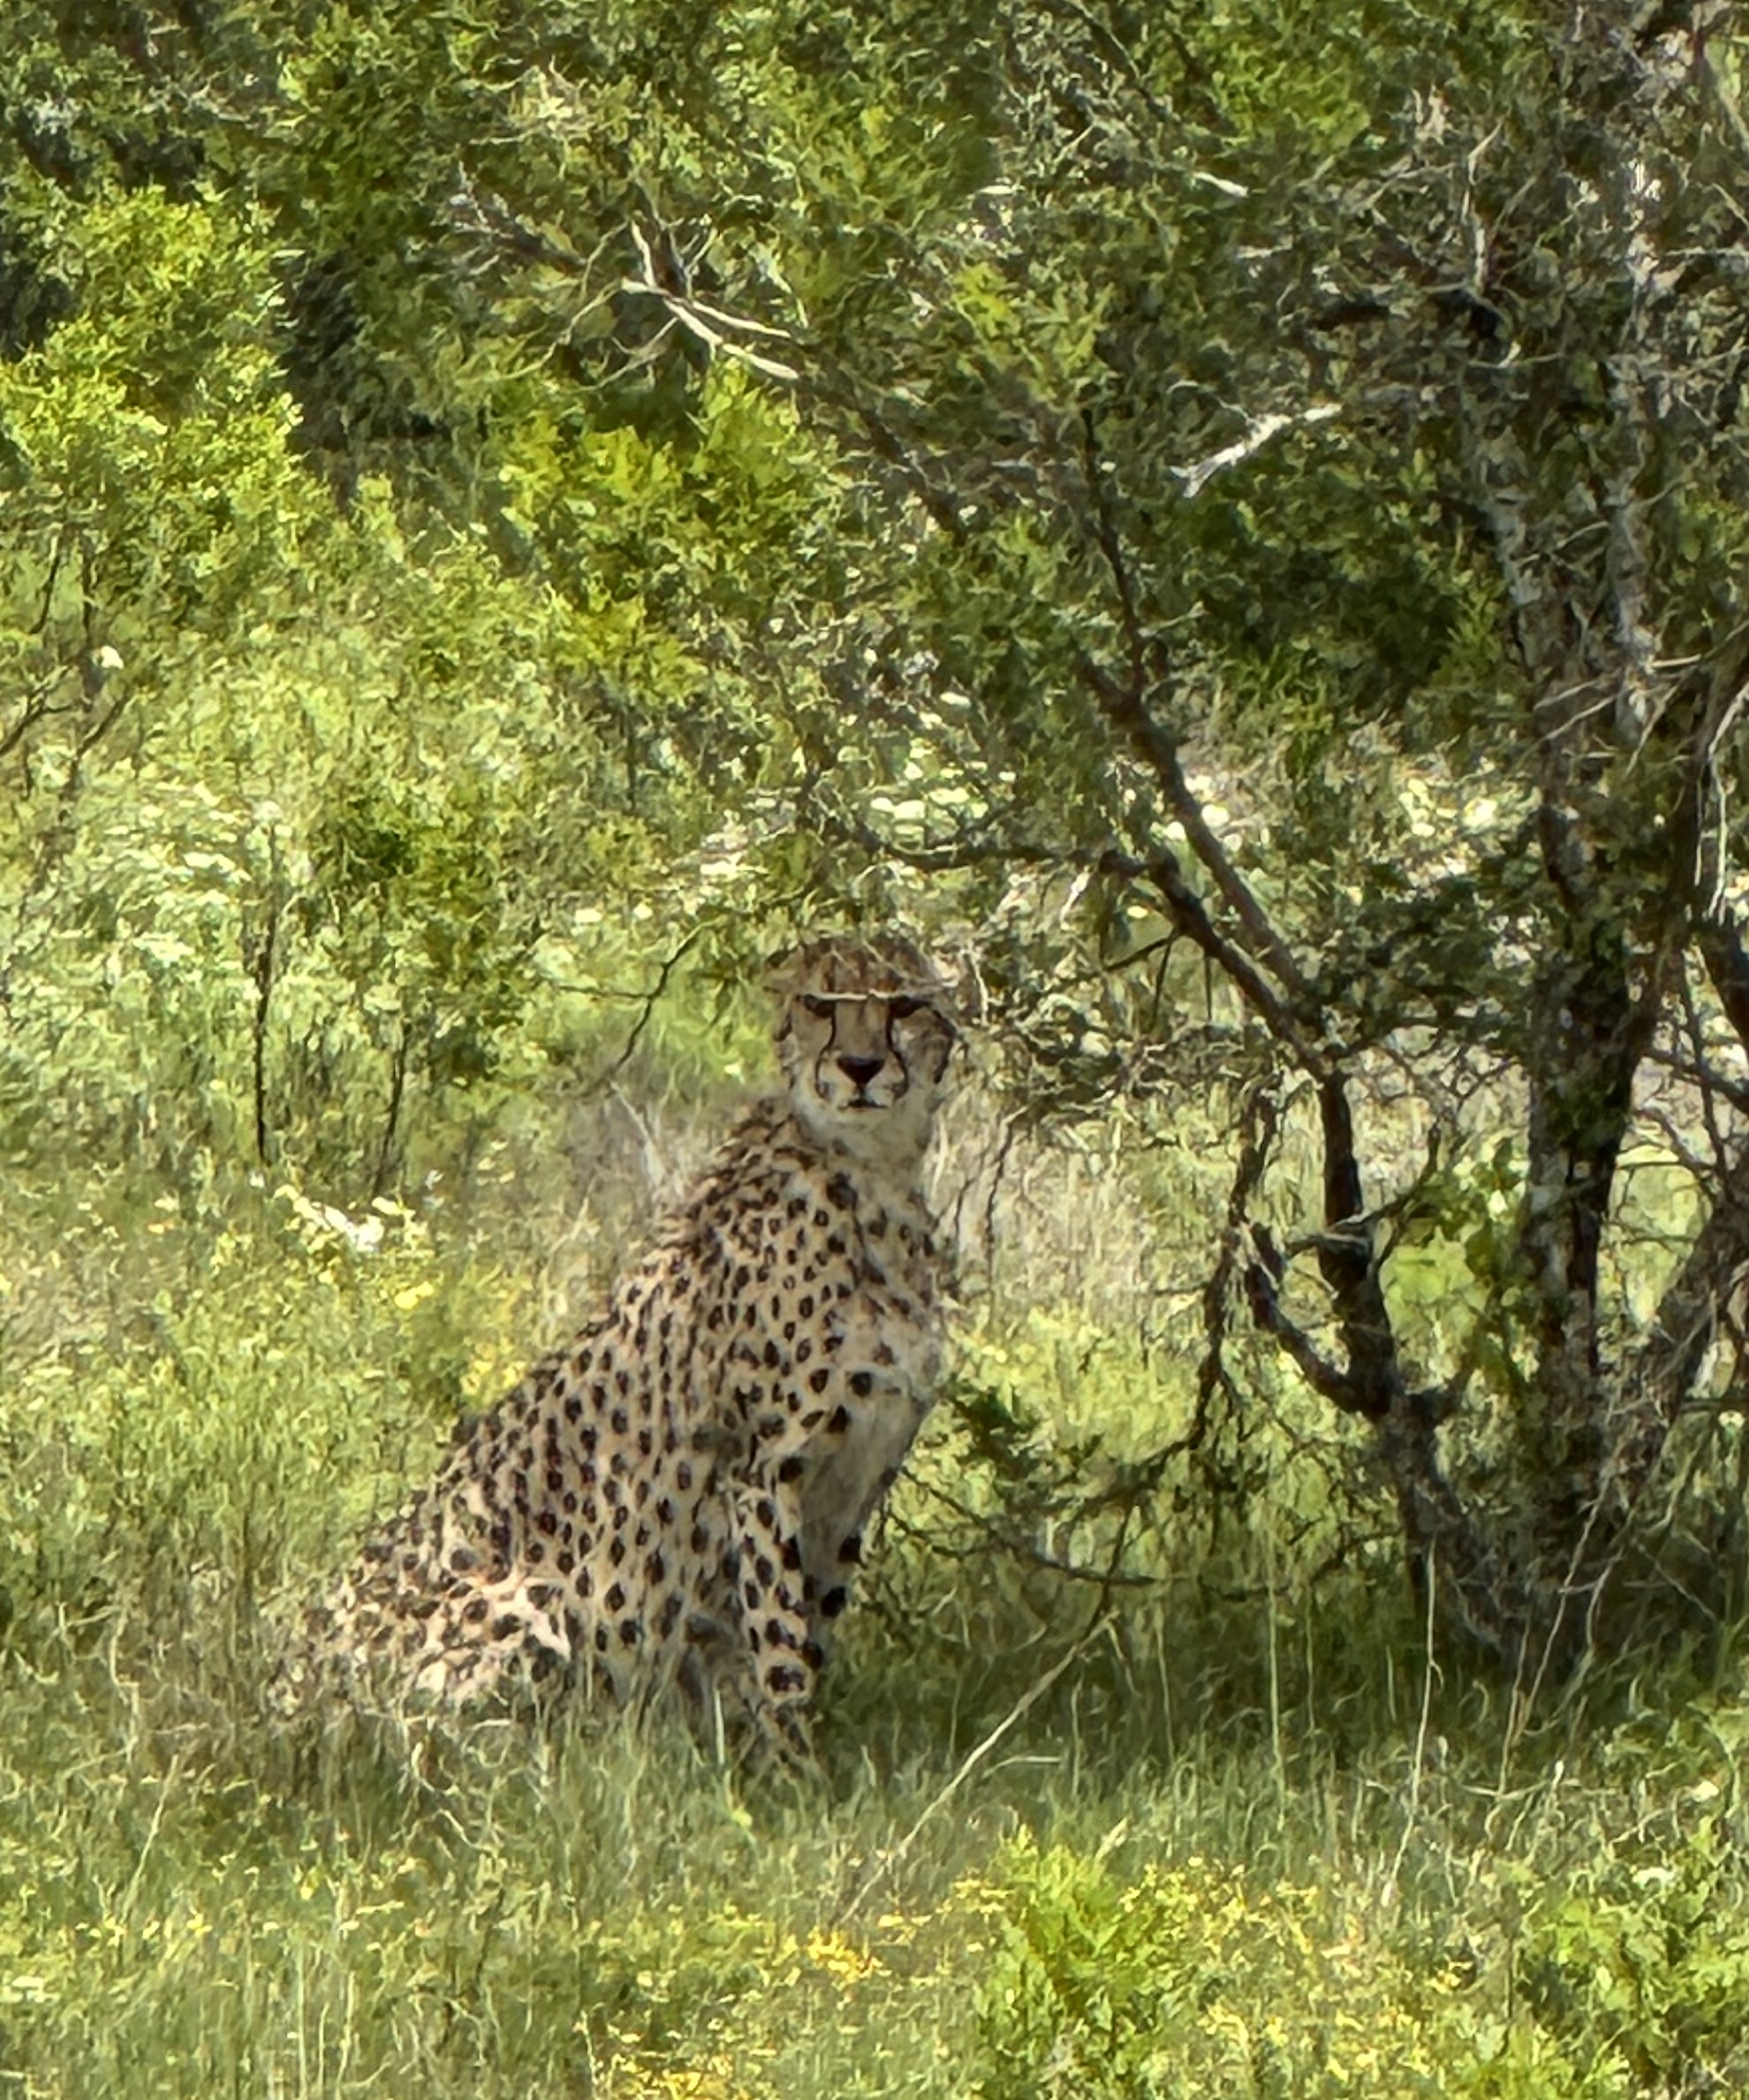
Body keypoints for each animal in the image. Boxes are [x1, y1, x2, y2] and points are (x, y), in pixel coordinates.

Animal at [279, 933, 960, 1755]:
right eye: (820, 1005)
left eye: (905, 1005)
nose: (859, 1068)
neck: (873, 1177)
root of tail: (282, 1681)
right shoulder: (765, 1471)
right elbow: (780, 1639)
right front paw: (794, 1767)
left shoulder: (856, 1478)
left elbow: (813, 1623)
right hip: (533, 1600)